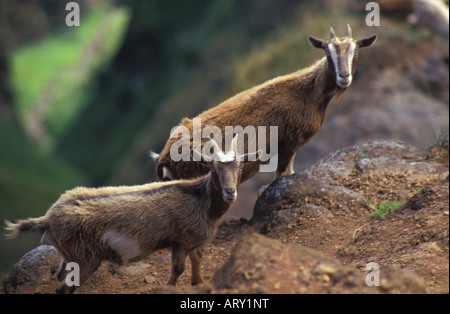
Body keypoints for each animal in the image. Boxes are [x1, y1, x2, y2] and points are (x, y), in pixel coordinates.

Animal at [5, 136, 253, 294]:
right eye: (212, 169)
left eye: (240, 167)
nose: (230, 192)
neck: (199, 198)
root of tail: (47, 219)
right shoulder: (180, 241)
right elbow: (177, 269)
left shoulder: (195, 242)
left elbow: (197, 260)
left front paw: (199, 283)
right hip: (85, 258)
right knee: (64, 288)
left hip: (68, 256)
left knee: (60, 278)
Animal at [155, 25, 376, 184]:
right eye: (327, 53)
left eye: (356, 52)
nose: (344, 76)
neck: (308, 92)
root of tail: (163, 161)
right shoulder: (288, 144)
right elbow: (282, 176)